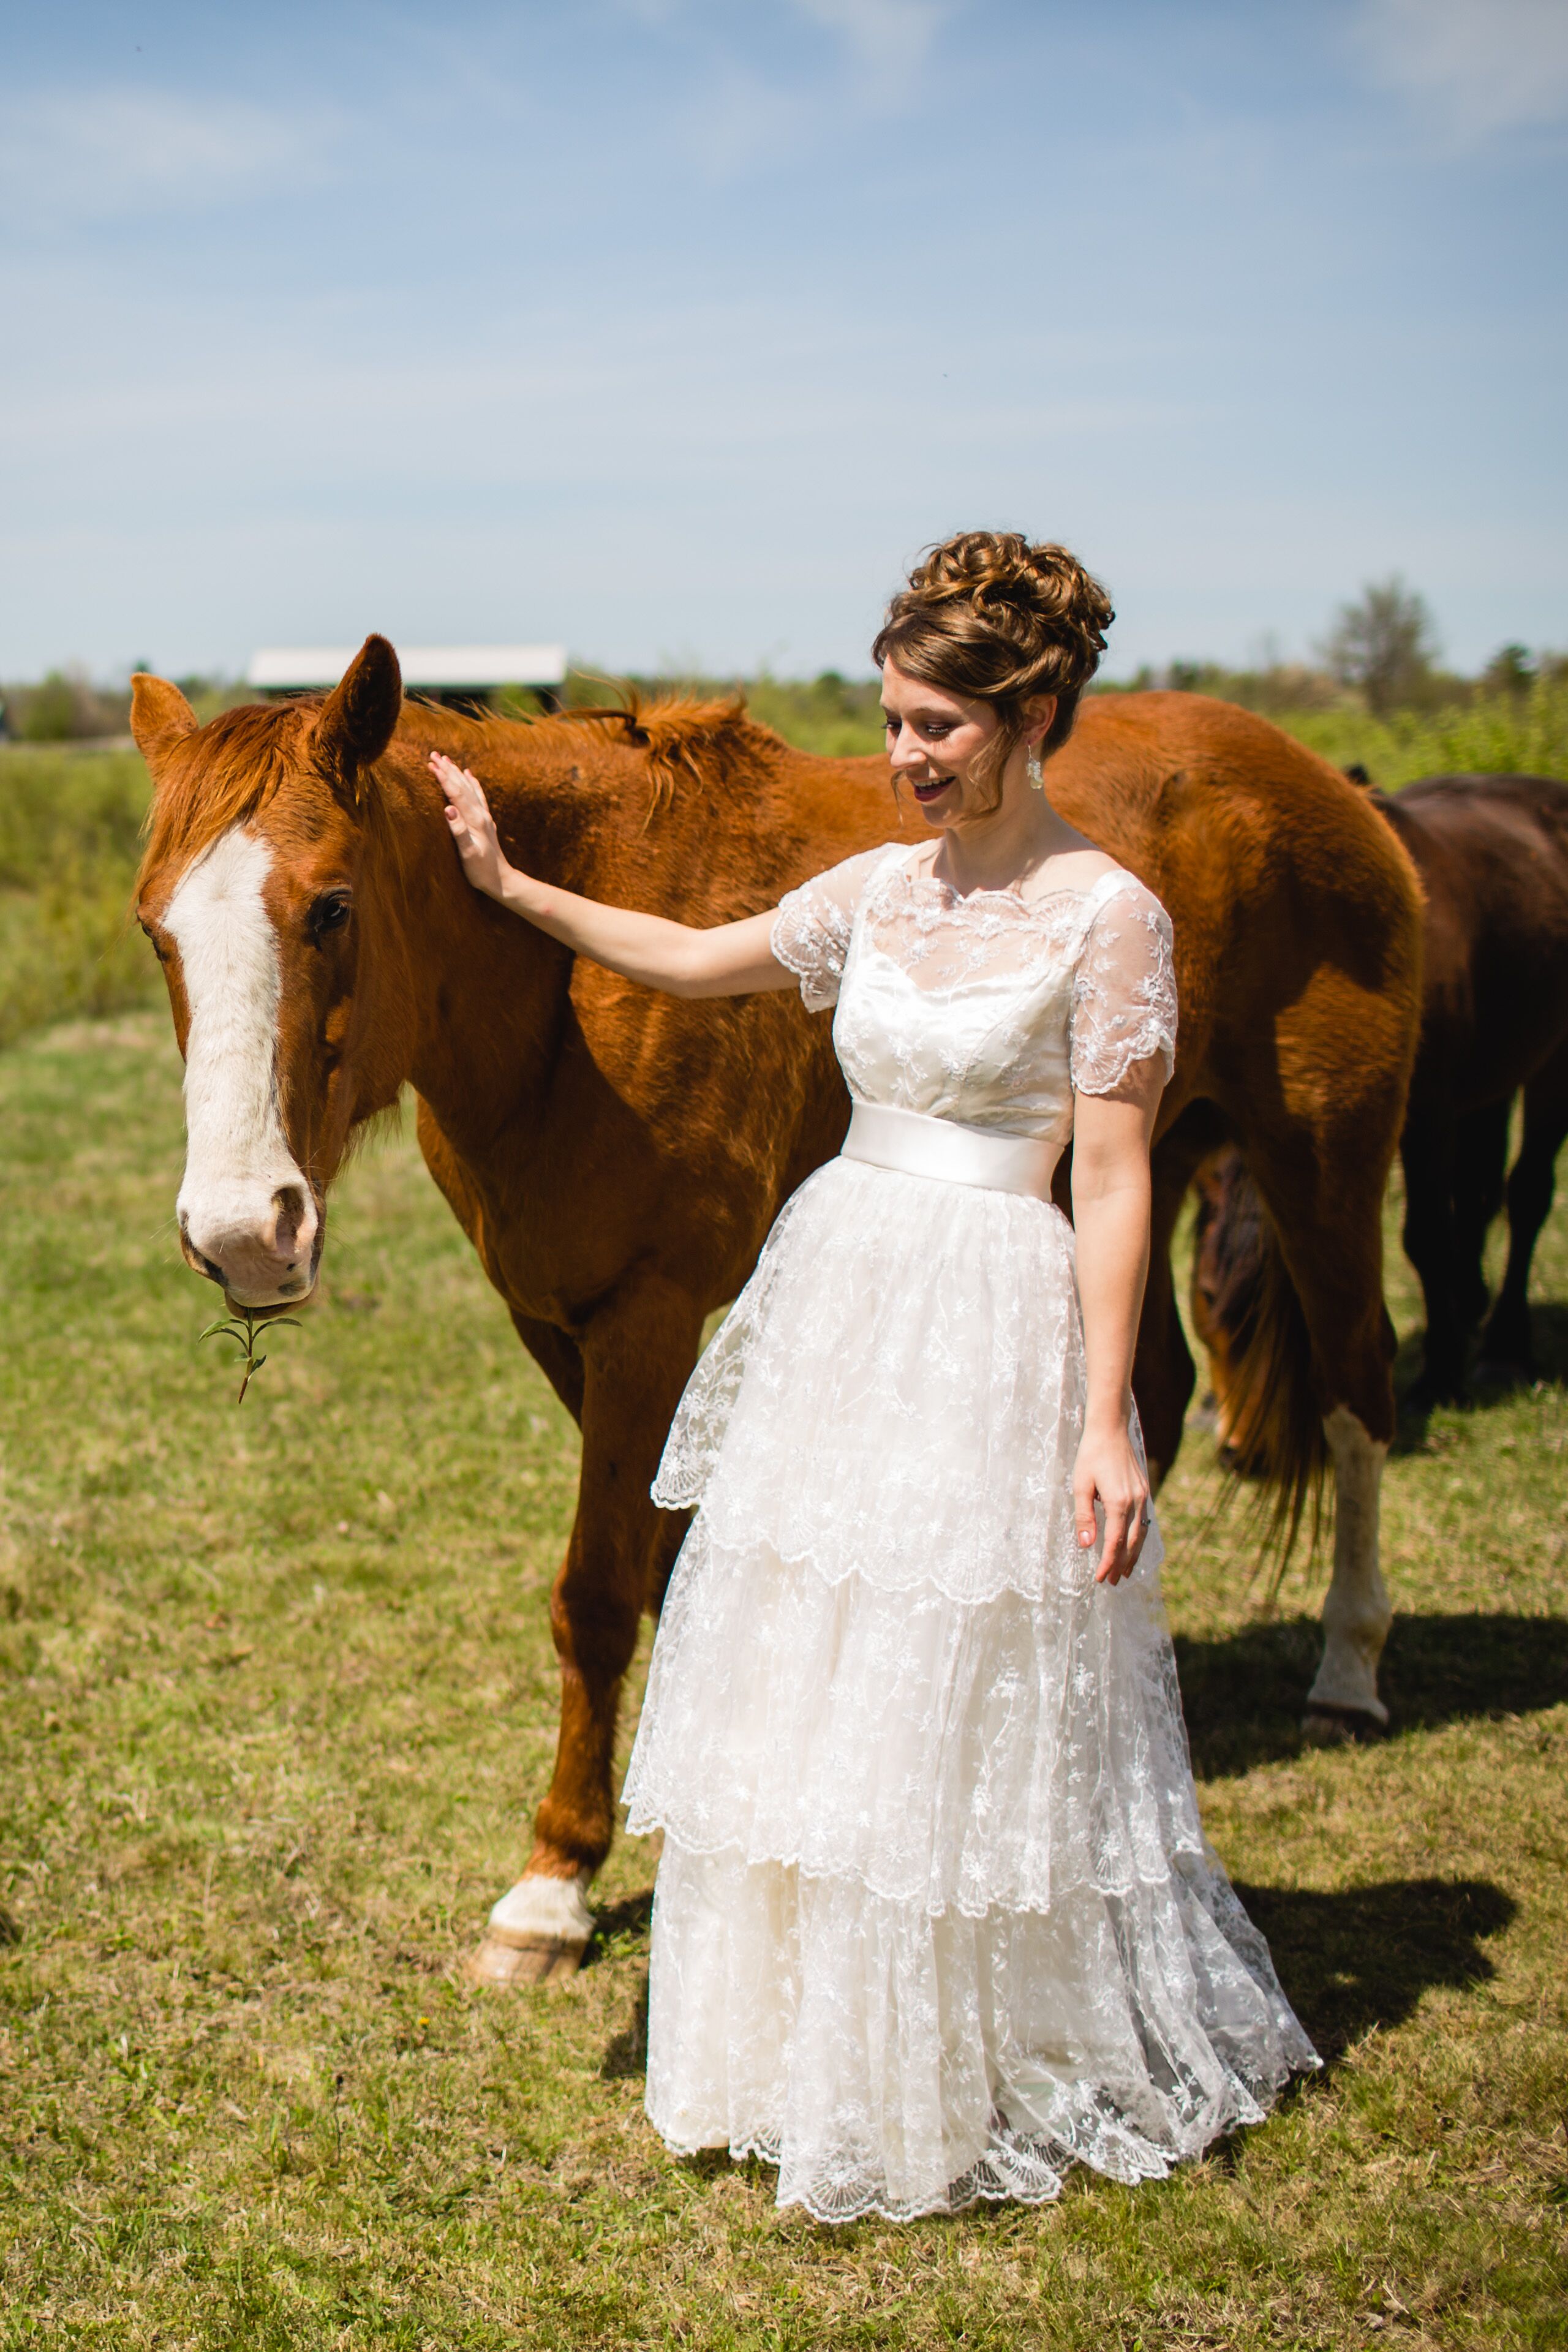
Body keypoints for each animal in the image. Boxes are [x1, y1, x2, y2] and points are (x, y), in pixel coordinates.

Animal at [1194, 771, 1568, 1430]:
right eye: (1209, 1296)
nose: (1236, 1441)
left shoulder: (1427, 1116)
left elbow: (1425, 1236)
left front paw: (1439, 1377)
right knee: (1481, 1191)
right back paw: (1471, 1303)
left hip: (1553, 1062)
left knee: (1525, 1196)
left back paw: (1502, 1350)